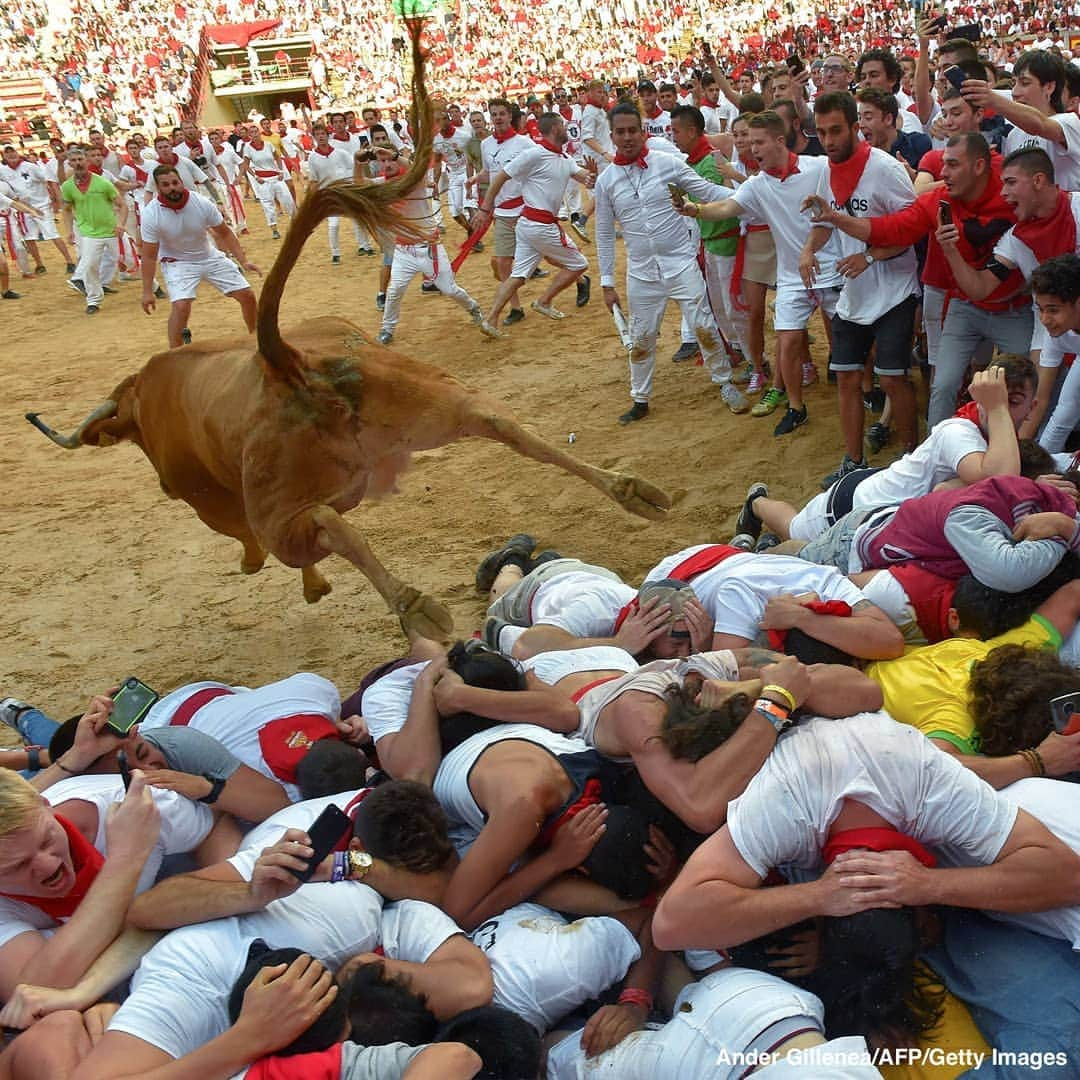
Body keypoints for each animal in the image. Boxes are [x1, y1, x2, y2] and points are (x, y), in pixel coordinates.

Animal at [23, 19, 665, 639]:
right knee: (503, 424)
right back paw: (634, 491)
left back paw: (413, 606)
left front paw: (295, 581)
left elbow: (249, 541)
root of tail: (282, 361)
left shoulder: (210, 502)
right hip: (431, 402)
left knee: (322, 526)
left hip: (283, 509)